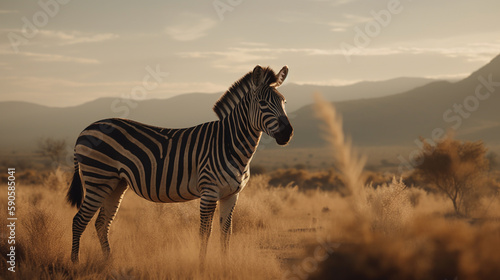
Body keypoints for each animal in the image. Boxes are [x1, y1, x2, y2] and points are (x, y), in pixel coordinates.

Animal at [66, 64, 292, 264]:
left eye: (284, 102)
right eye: (262, 102)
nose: (287, 133)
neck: (229, 143)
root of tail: (85, 130)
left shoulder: (231, 195)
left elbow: (226, 232)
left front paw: (225, 265)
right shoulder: (209, 192)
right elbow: (205, 232)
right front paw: (202, 266)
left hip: (115, 184)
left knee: (101, 223)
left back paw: (108, 262)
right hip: (98, 179)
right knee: (79, 221)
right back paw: (75, 262)